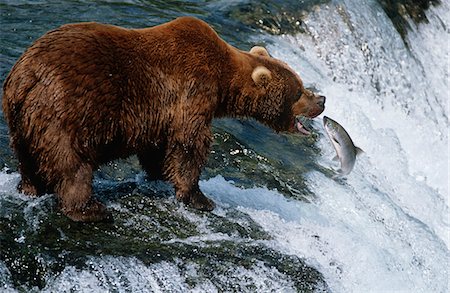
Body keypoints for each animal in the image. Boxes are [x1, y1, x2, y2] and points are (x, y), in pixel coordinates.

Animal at [0, 16, 324, 221]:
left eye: (301, 84)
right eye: (298, 92)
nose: (321, 100)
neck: (223, 80)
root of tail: (25, 74)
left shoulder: (158, 114)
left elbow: (158, 148)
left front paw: (158, 174)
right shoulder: (192, 91)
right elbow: (189, 144)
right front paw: (199, 197)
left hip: (22, 119)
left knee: (28, 157)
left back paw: (30, 188)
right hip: (67, 110)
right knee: (72, 162)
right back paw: (90, 210)